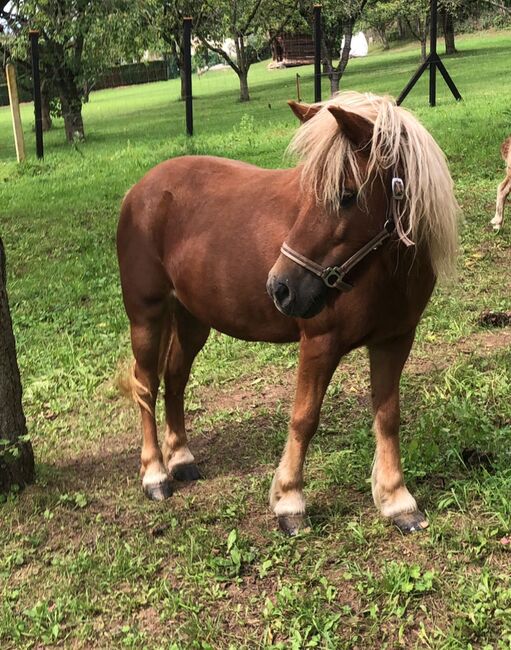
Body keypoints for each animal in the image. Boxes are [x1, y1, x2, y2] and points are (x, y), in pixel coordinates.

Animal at [119, 92, 460, 536]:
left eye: (347, 195)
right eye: (306, 191)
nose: (280, 288)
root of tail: (139, 189)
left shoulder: (395, 340)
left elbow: (387, 416)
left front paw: (396, 500)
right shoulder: (319, 344)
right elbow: (303, 418)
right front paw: (290, 501)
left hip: (193, 319)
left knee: (175, 379)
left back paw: (181, 458)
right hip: (147, 316)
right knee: (146, 385)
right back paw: (156, 474)